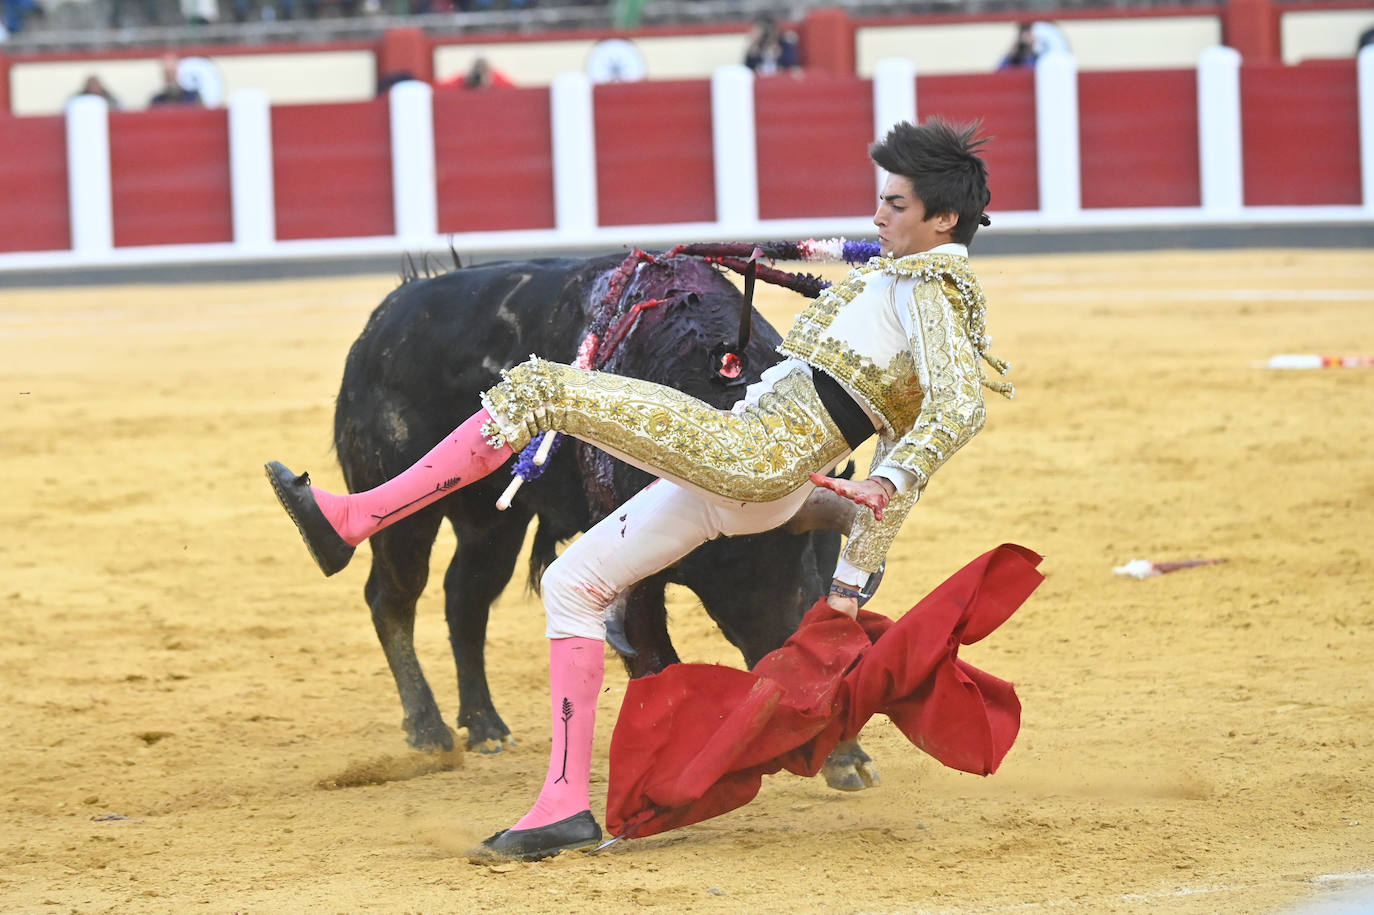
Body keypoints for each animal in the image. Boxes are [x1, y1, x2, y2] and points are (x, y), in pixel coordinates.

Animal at [328, 247, 873, 785]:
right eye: (744, 562)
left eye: (818, 558)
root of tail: (382, 321)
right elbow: (655, 658)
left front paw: (846, 755)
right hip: (405, 513)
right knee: (392, 597)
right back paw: (428, 730)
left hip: (493, 523)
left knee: (466, 596)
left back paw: (485, 726)